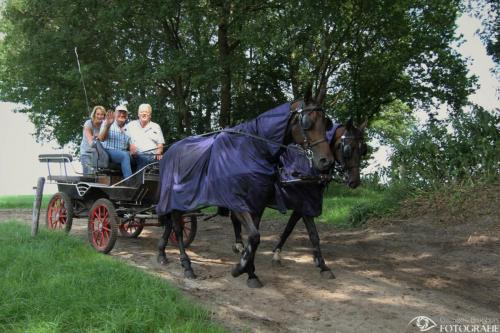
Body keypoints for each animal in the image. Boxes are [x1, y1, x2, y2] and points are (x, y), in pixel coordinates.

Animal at [155, 89, 336, 286]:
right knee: (178, 228)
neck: (251, 151)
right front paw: (239, 269)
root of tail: (170, 151)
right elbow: (255, 236)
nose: (326, 161)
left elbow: (255, 239)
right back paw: (186, 265)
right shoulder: (237, 203)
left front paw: (251, 273)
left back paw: (162, 254)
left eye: (326, 123)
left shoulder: (258, 204)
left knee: (170, 224)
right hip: (175, 199)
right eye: (307, 122)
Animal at [230, 116, 368, 278]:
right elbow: (312, 235)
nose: (355, 181)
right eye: (347, 148)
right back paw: (239, 245)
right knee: (235, 217)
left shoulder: (301, 207)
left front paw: (279, 255)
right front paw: (322, 265)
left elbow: (291, 230)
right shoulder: (305, 204)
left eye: (363, 149)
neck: (307, 168)